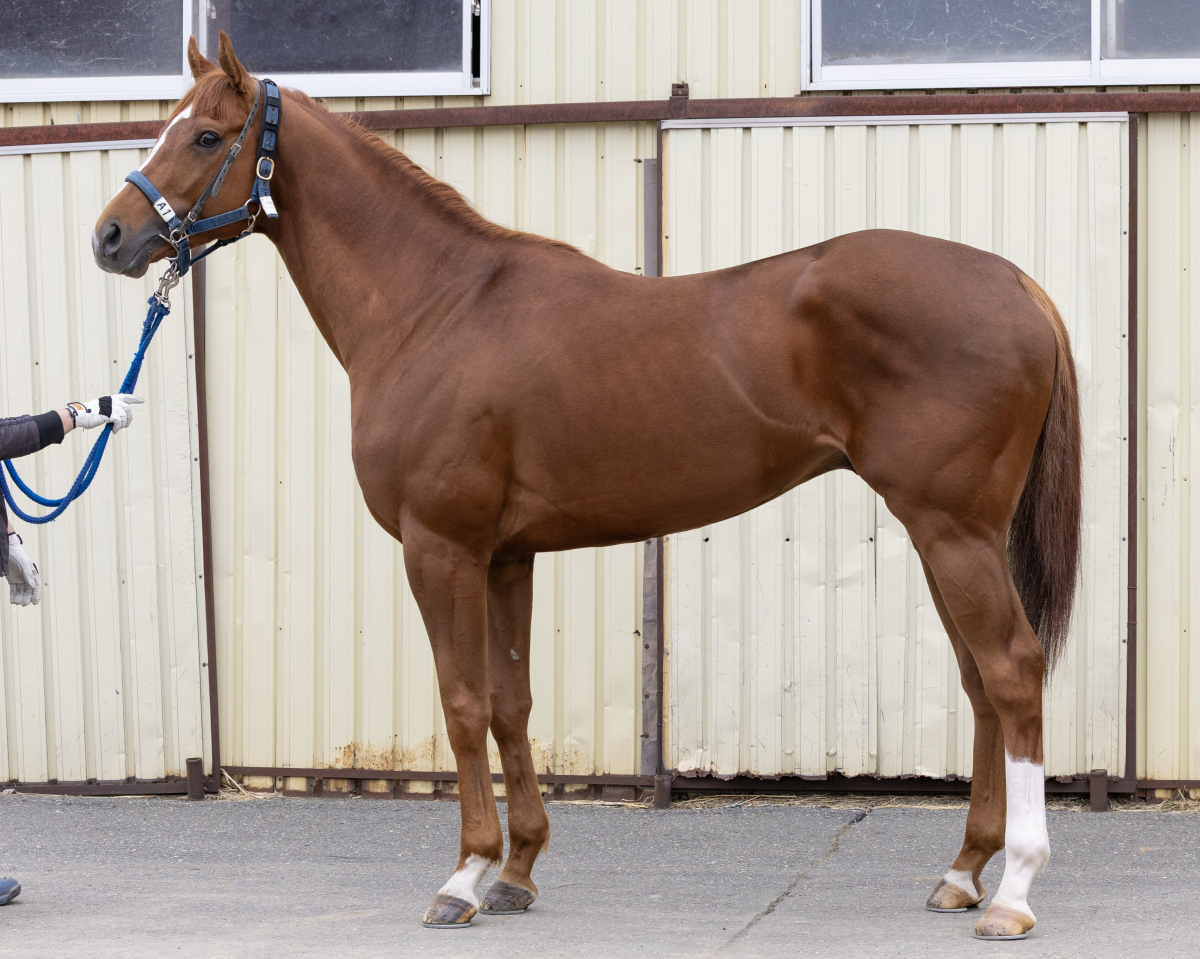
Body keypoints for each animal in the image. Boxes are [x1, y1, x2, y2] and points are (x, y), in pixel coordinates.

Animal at [93, 32, 1081, 941]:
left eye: (206, 135)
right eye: (168, 127)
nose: (110, 236)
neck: (434, 306)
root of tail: (1020, 286)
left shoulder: (442, 547)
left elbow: (461, 705)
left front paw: (463, 876)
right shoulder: (506, 556)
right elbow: (509, 703)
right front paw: (517, 870)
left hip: (950, 528)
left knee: (1012, 669)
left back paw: (1015, 890)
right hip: (946, 533)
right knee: (979, 681)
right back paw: (962, 872)